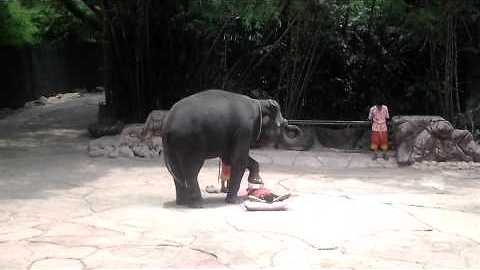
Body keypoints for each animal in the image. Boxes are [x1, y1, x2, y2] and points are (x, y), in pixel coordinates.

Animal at [162, 88, 300, 207]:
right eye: (283, 125)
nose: (290, 124)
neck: (259, 102)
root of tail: (167, 125)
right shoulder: (244, 129)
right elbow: (238, 160)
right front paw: (233, 201)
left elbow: (230, 158)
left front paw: (256, 181)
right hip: (190, 140)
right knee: (192, 170)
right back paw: (198, 204)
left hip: (174, 145)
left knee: (177, 171)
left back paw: (182, 202)